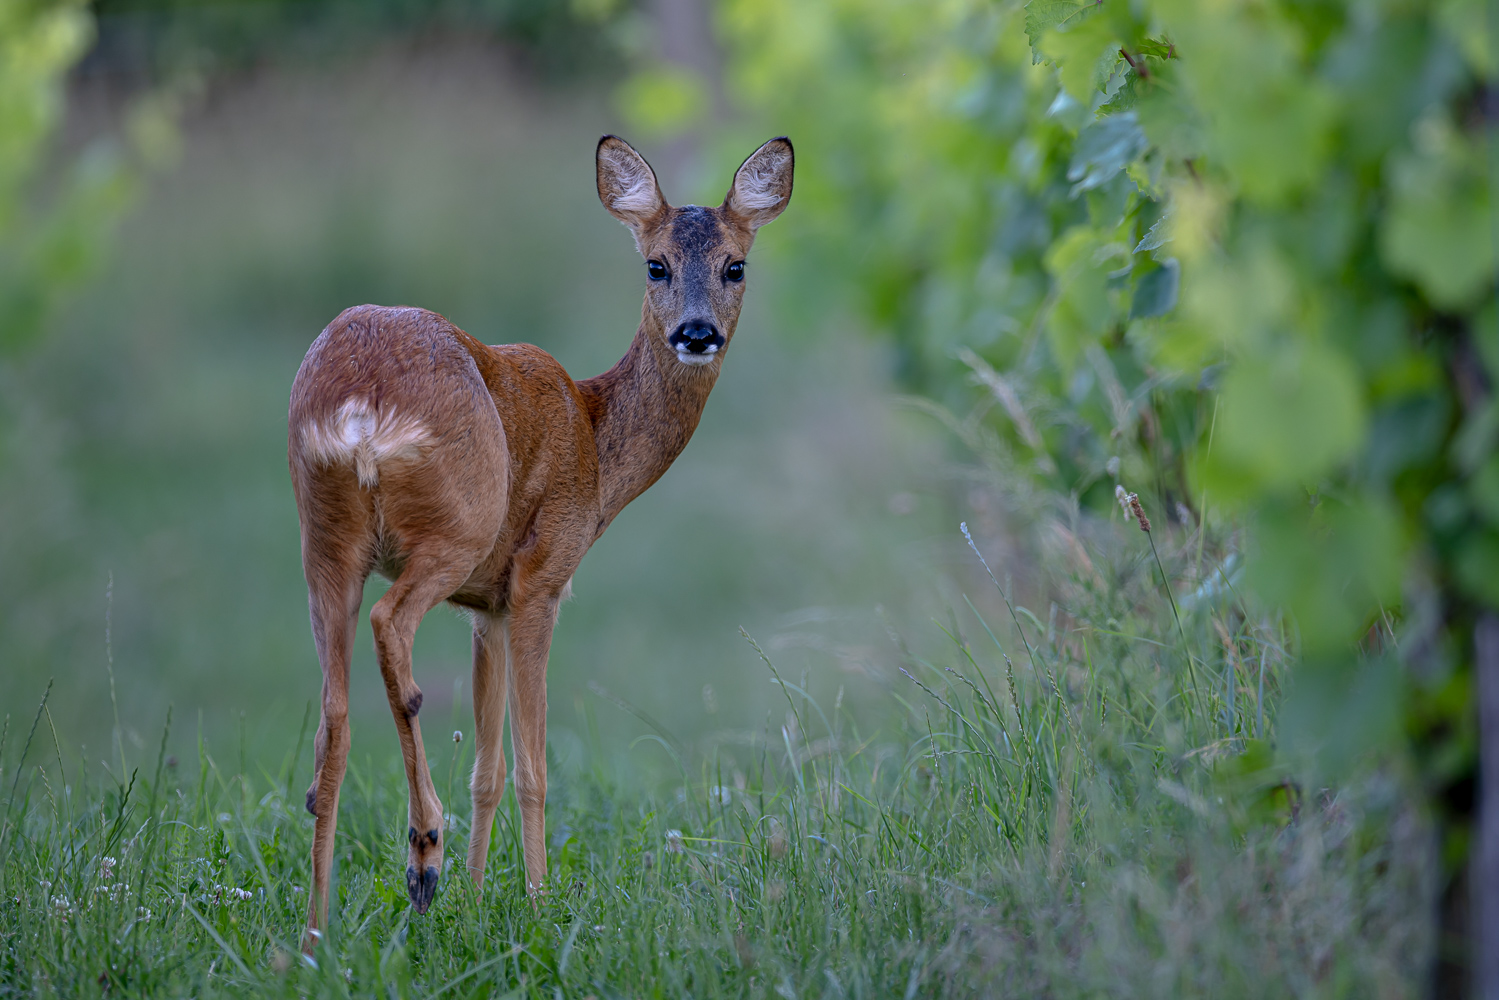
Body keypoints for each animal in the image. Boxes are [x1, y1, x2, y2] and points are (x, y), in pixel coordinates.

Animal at [284, 134, 791, 947]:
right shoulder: (539, 577)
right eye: (655, 265)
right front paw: (536, 900)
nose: (696, 333)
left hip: (322, 542)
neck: (595, 440)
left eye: (734, 265)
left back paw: (315, 934)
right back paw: (422, 851)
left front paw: (473, 901)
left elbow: (487, 770)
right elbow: (532, 767)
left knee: (333, 722)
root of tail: (360, 408)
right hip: (455, 526)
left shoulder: (484, 605)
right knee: (391, 627)